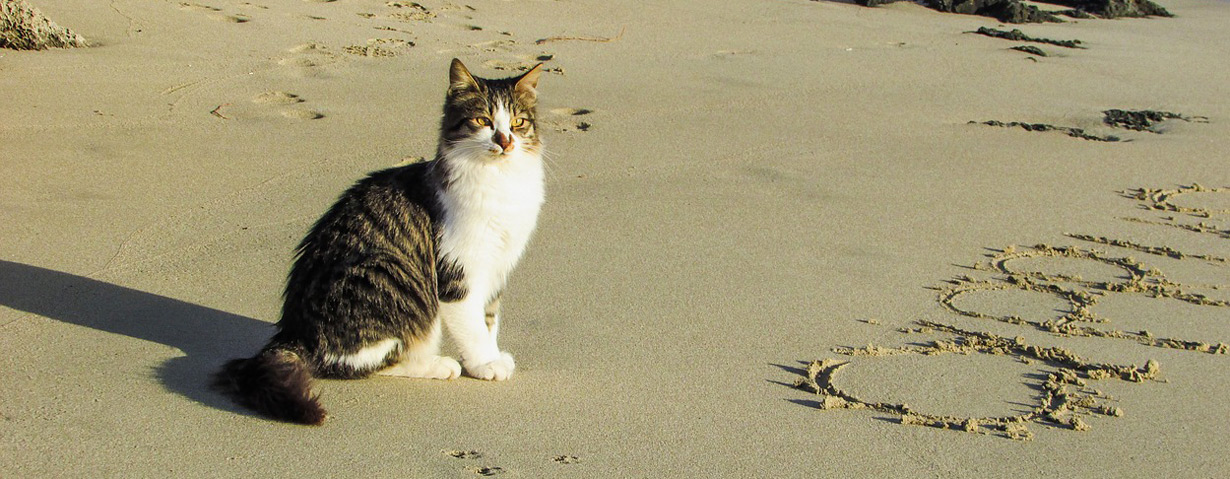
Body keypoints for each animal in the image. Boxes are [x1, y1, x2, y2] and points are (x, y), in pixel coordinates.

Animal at [214, 60, 546, 426]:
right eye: (483, 121)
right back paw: (437, 365)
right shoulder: (457, 270)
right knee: (367, 363)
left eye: (518, 122)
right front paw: (484, 363)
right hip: (392, 279)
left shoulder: (497, 267)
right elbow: (472, 327)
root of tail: (294, 333)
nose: (505, 141)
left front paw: (493, 353)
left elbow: (489, 320)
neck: (500, 182)